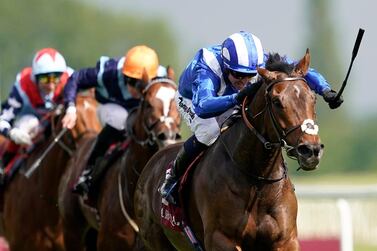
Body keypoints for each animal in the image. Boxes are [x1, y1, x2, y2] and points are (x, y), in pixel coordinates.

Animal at [134, 50, 324, 250]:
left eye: (313, 98)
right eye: (276, 101)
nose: (310, 150)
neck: (258, 181)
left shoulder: (286, 240)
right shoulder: (220, 238)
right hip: (155, 239)